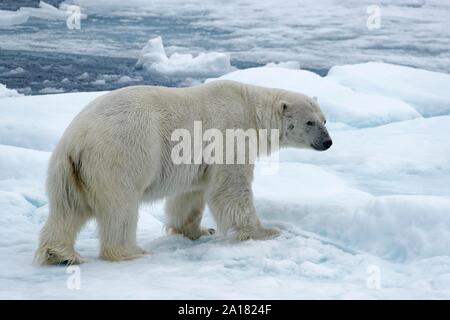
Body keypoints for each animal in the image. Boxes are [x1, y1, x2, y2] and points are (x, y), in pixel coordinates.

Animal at [34, 80, 330, 264]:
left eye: (325, 119)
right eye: (309, 122)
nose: (328, 142)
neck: (250, 107)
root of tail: (77, 139)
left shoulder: (198, 161)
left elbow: (190, 194)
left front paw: (199, 230)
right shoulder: (230, 134)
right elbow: (232, 188)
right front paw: (265, 232)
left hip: (68, 170)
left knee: (66, 208)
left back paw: (60, 254)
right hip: (120, 156)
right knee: (120, 209)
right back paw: (131, 251)